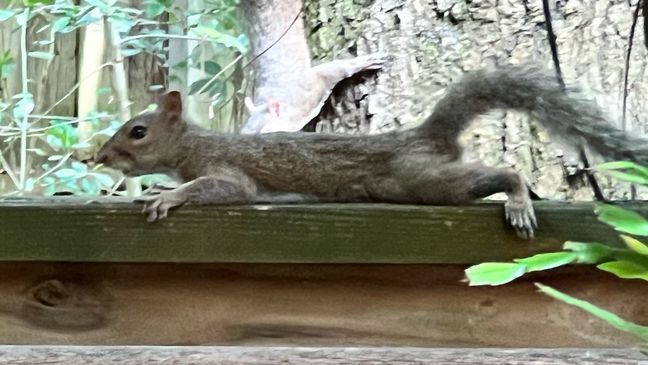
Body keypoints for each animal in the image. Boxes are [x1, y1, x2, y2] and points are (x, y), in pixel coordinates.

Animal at [93, 63, 644, 237]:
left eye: (137, 132)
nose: (99, 156)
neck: (193, 143)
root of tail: (424, 136)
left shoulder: (228, 172)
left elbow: (219, 188)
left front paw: (167, 197)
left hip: (421, 179)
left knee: (502, 174)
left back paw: (517, 198)